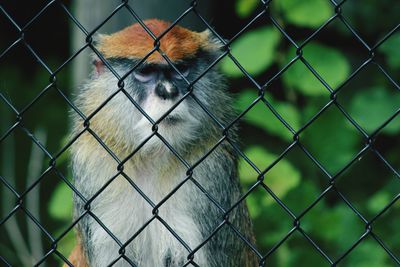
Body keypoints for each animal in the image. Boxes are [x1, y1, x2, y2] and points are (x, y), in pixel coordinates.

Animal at [67, 19, 258, 267]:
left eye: (181, 69)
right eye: (146, 71)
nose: (169, 92)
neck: (151, 156)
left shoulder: (211, 169)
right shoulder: (94, 160)